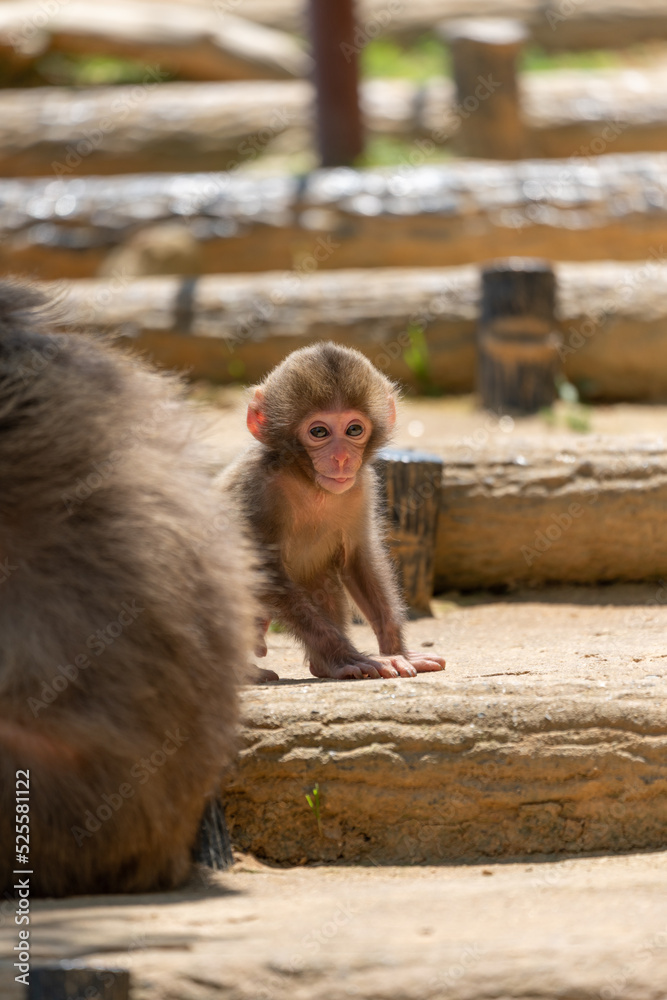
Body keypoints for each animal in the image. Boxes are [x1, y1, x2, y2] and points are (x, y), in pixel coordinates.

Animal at [218, 342, 446, 681]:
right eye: (319, 432)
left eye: (354, 429)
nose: (341, 458)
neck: (307, 480)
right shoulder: (255, 487)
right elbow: (260, 570)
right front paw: (345, 656)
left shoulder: (361, 487)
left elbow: (358, 558)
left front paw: (397, 652)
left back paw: (320, 665)